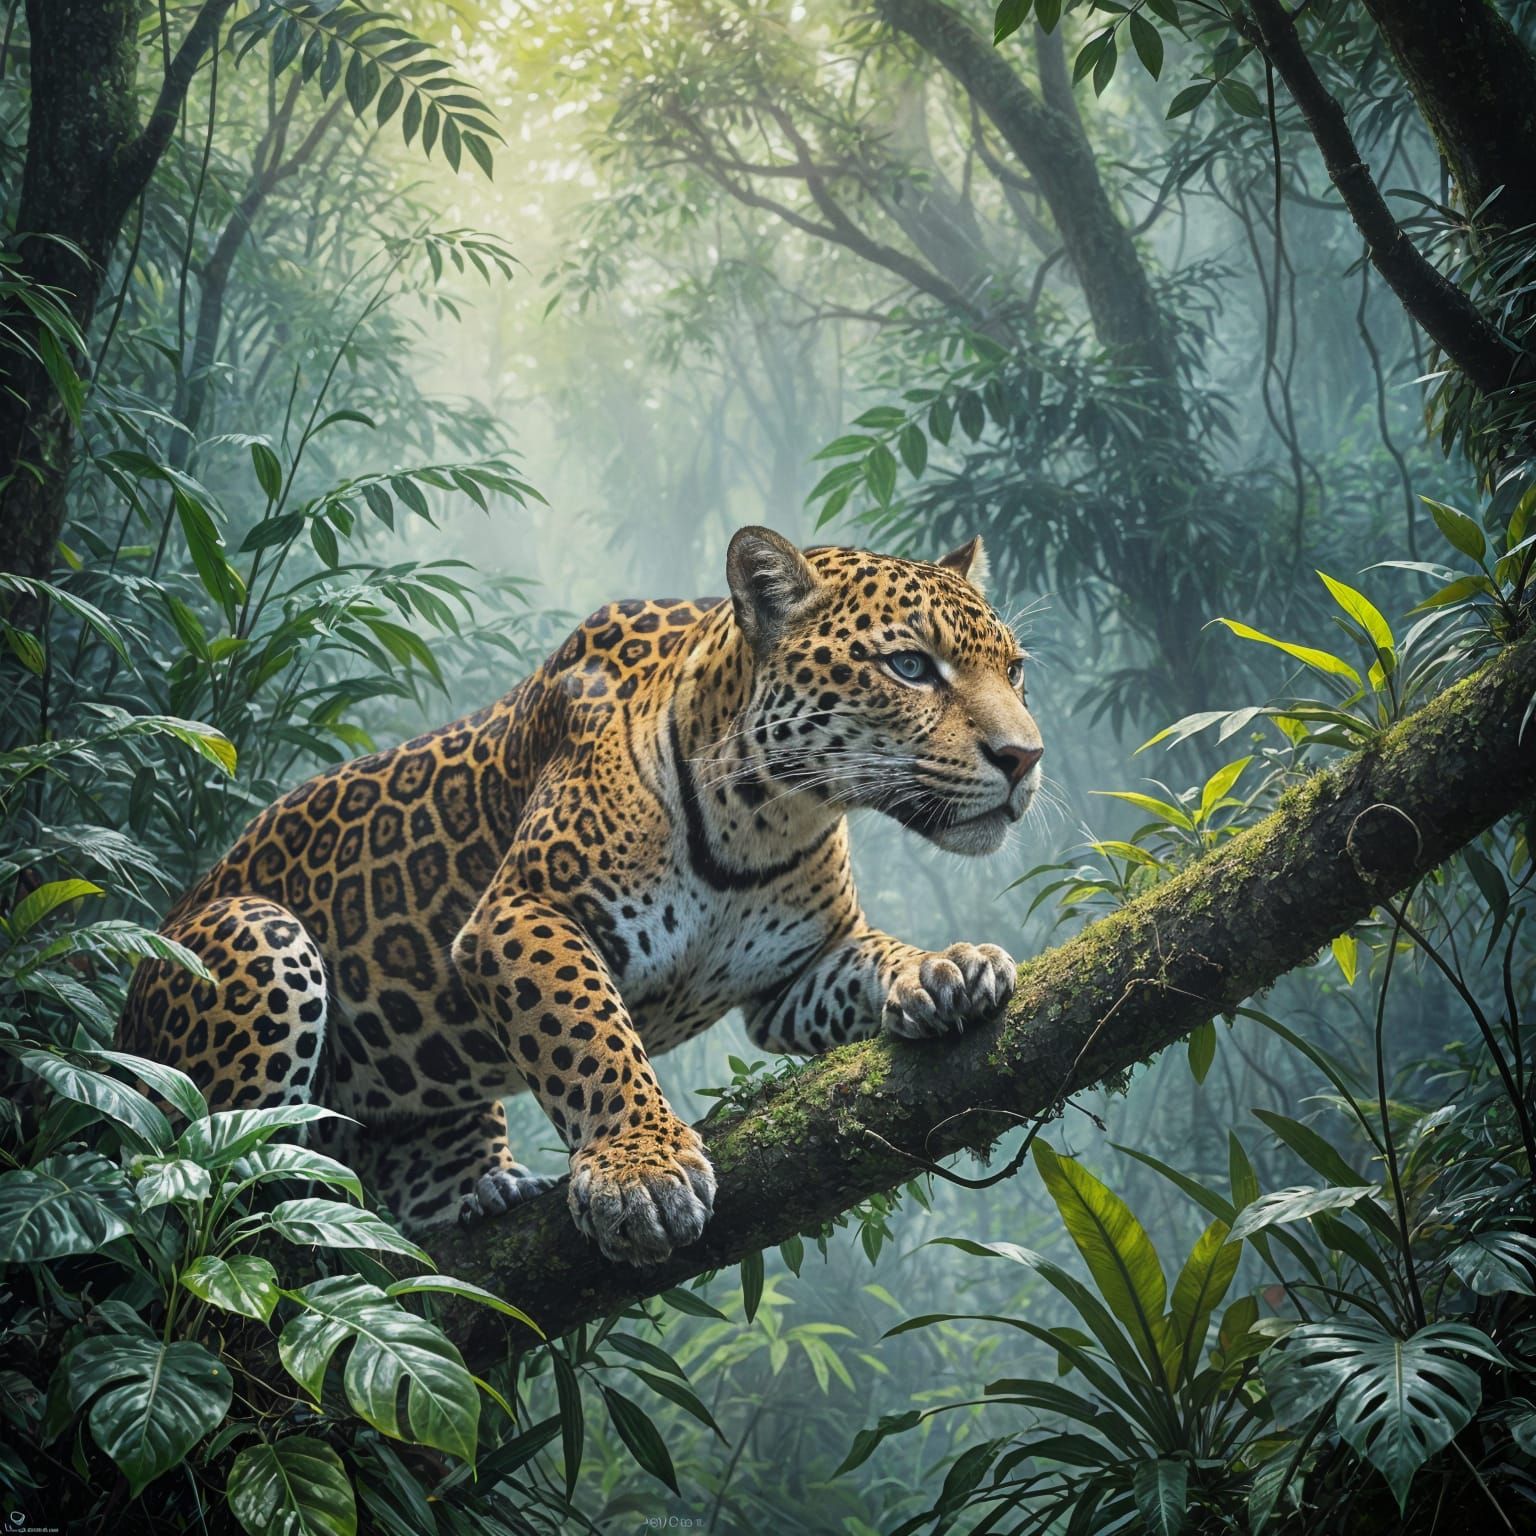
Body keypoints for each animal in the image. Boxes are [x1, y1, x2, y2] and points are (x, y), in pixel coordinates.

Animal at [119, 527, 1045, 1265]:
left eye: (1016, 671)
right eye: (911, 666)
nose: (1026, 757)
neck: (768, 817)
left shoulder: (797, 974)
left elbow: (874, 956)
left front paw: (945, 971)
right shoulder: (520, 915)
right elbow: (588, 1035)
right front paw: (642, 1167)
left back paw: (484, 1190)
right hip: (252, 935)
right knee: (210, 1177)